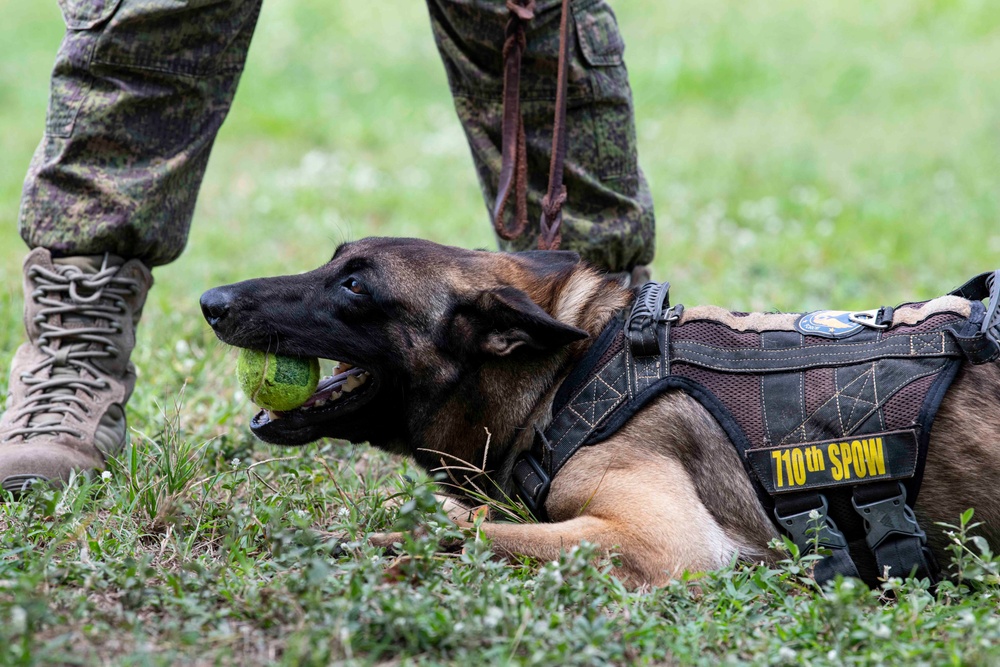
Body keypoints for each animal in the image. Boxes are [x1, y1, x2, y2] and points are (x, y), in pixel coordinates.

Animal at [201, 237, 1000, 588]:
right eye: (332, 262)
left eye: (356, 286)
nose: (210, 300)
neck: (565, 378)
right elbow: (469, 520)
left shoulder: (663, 543)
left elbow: (476, 535)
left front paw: (370, 549)